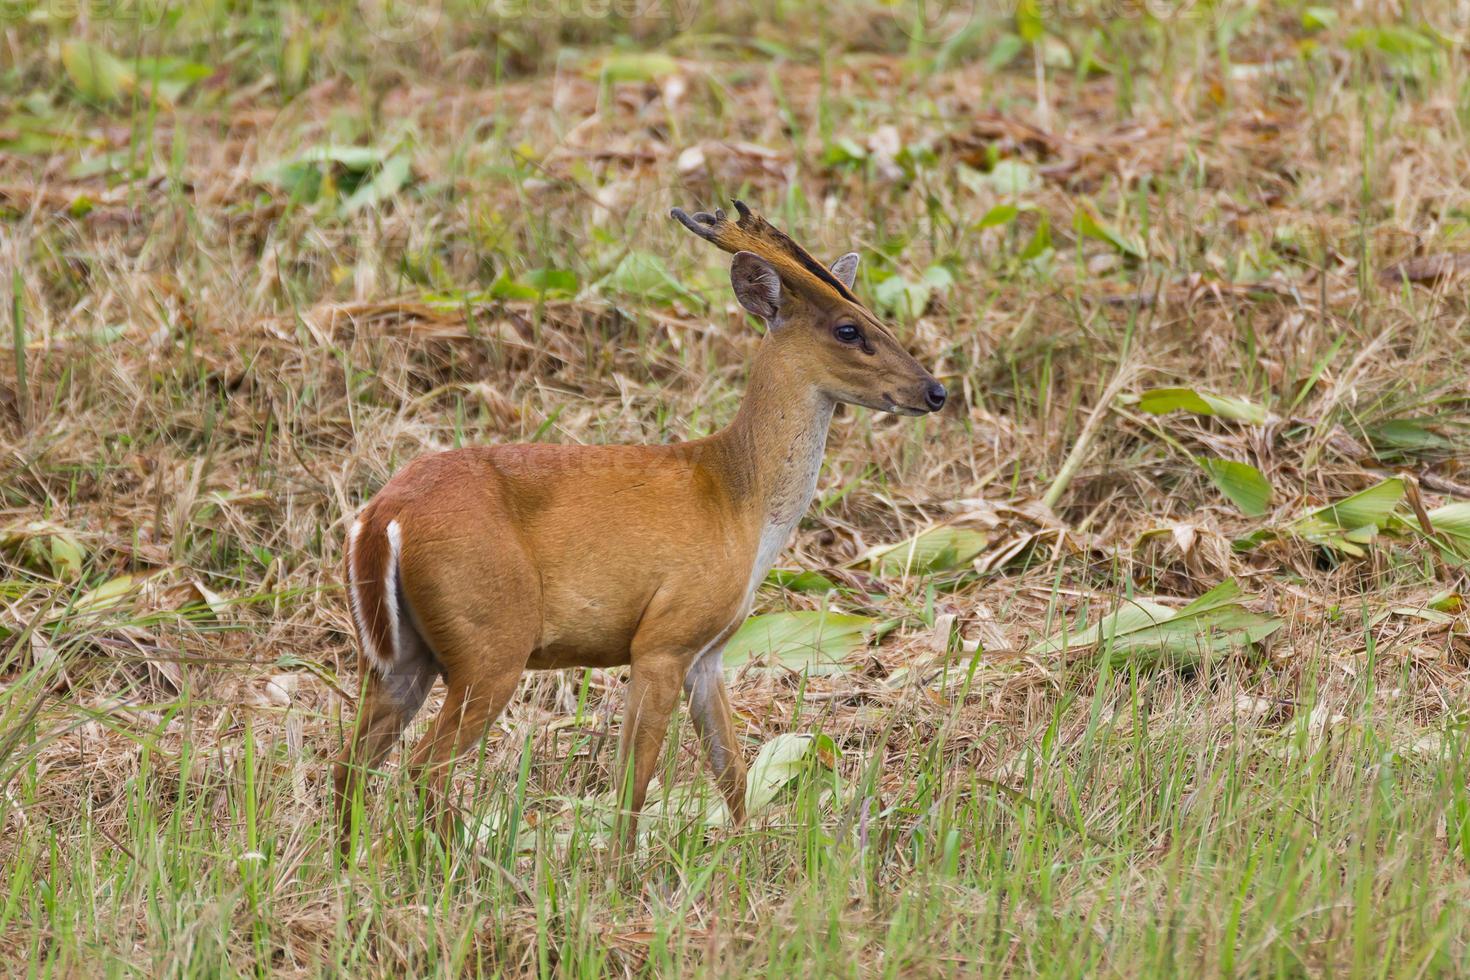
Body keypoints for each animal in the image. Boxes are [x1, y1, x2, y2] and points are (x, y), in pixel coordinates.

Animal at [332, 201, 946, 858]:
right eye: (849, 331)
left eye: (876, 315)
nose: (935, 390)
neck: (741, 501)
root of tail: (382, 517)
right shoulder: (663, 638)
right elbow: (636, 778)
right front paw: (624, 870)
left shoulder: (708, 651)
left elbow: (731, 768)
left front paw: (742, 852)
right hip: (490, 638)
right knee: (424, 767)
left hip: (400, 656)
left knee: (351, 765)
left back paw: (349, 862)